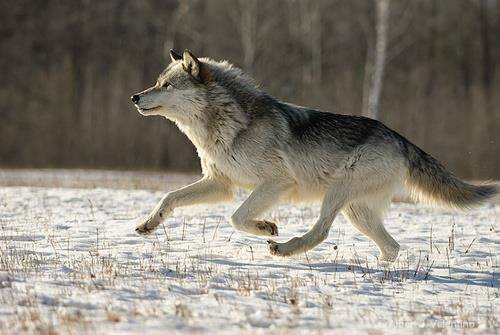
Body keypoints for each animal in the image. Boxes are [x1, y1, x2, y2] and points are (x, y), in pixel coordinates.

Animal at [131, 49, 498, 262]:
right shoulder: (219, 184)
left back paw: (285, 248)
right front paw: (148, 224)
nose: (135, 96)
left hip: (337, 195)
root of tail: (400, 138)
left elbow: (237, 217)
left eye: (166, 86)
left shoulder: (276, 183)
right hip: (356, 210)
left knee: (322, 231)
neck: (229, 125)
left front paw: (266, 227)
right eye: (157, 82)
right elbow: (169, 197)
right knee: (391, 247)